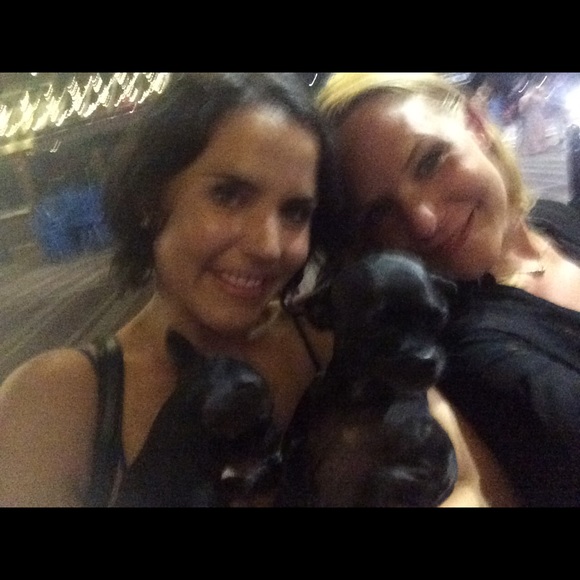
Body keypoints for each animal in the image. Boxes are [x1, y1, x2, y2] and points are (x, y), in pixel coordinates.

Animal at [275, 251, 458, 507]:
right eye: (375, 326)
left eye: (440, 317)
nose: (426, 359)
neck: (362, 396)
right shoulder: (295, 440)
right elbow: (293, 470)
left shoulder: (440, 468)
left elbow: (385, 479)